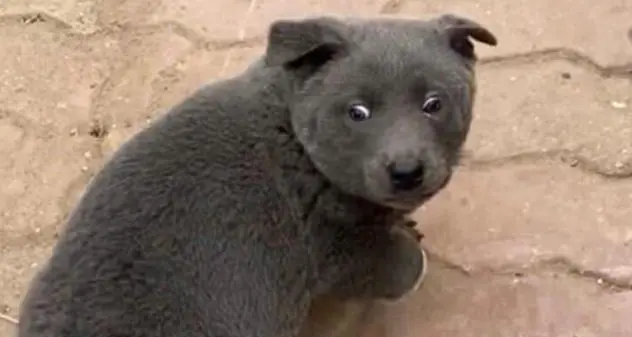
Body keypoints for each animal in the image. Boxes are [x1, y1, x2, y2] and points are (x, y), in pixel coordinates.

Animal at [17, 14, 496, 336]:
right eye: (357, 112)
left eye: (434, 103)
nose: (406, 171)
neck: (295, 139)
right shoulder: (330, 244)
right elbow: (394, 264)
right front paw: (409, 248)